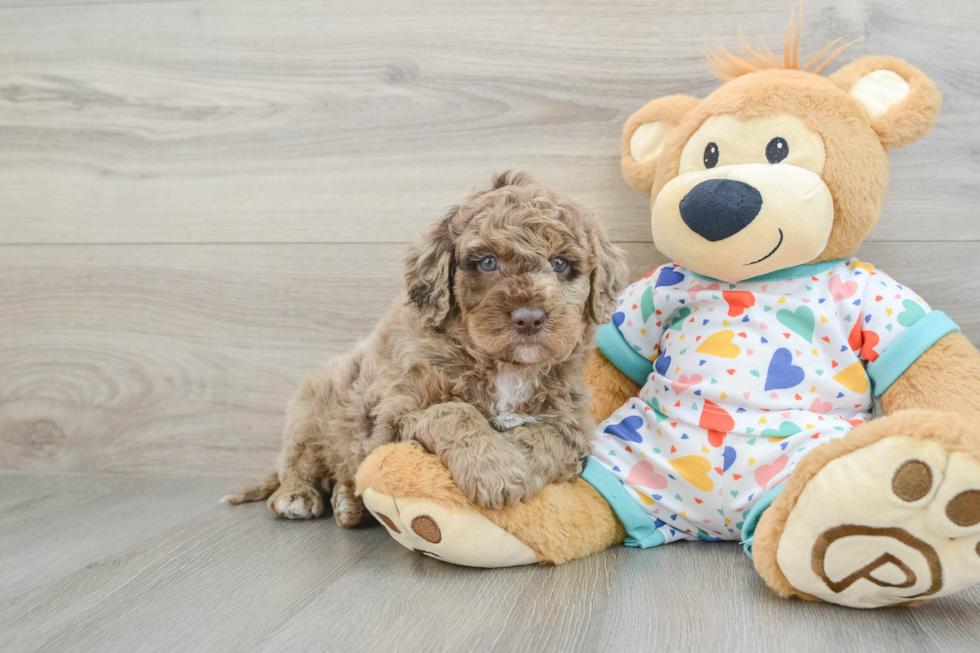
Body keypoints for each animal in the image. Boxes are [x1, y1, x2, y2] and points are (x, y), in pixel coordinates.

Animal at [224, 172, 628, 524]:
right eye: (488, 262)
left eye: (560, 264)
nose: (529, 318)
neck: (505, 368)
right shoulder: (392, 413)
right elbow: (453, 411)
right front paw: (495, 470)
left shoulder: (572, 420)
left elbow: (549, 435)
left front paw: (520, 467)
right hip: (308, 414)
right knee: (298, 463)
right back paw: (298, 496)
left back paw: (347, 503)